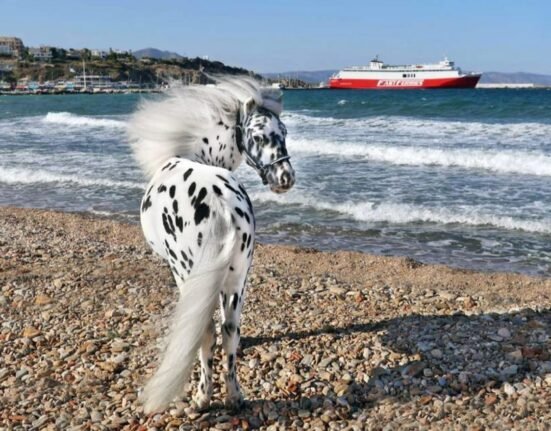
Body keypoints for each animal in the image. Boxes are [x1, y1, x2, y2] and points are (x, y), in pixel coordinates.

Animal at [128, 76, 296, 414]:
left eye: (283, 133)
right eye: (259, 136)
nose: (285, 178)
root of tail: (221, 204)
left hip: (188, 274)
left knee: (205, 333)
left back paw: (202, 398)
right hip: (238, 277)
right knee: (230, 330)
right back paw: (234, 396)